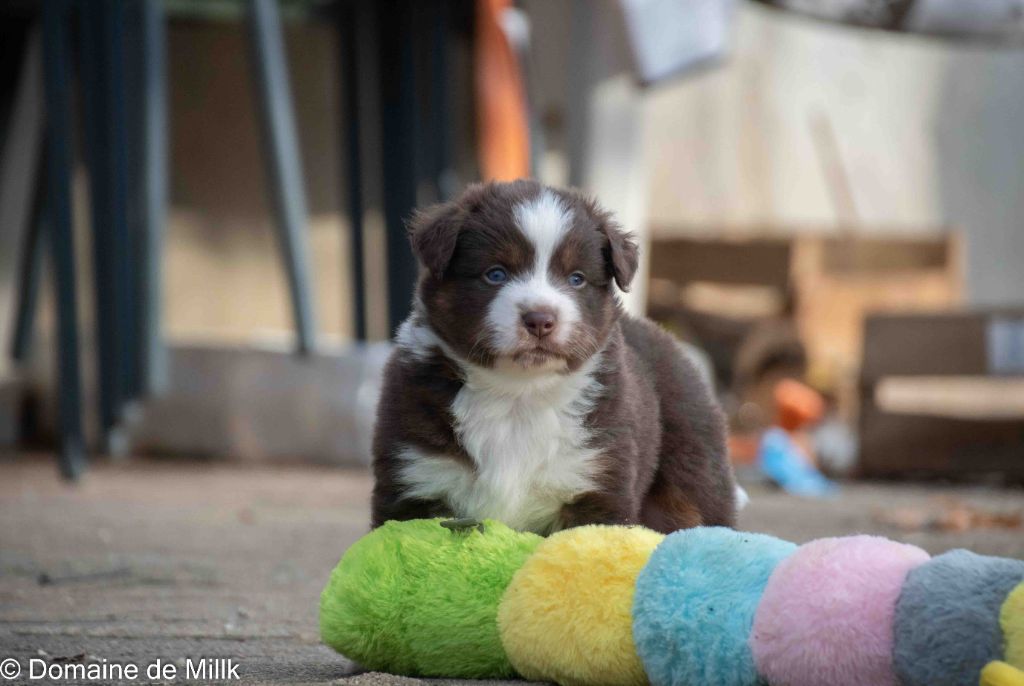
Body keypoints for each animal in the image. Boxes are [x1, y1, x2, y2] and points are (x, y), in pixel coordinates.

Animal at [371, 180, 737, 534]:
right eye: (495, 274)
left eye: (576, 279)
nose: (540, 320)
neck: (516, 395)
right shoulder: (415, 475)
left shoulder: (596, 479)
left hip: (693, 472)